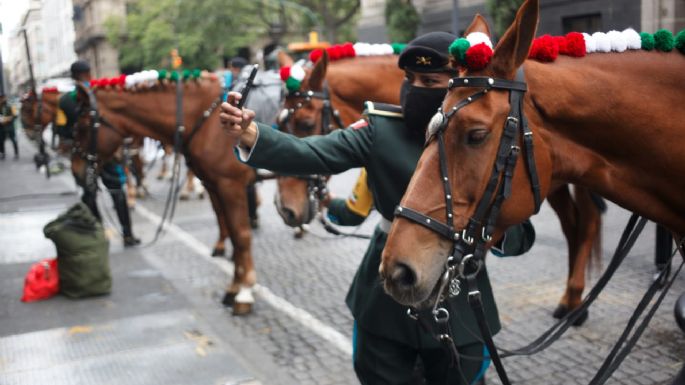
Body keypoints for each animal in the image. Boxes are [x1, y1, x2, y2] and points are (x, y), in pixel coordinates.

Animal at [70, 76, 256, 314]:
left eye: (83, 126)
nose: (76, 170)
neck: (205, 120)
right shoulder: (215, 186)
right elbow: (230, 231)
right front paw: (234, 288)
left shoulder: (231, 186)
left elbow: (241, 236)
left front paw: (244, 293)